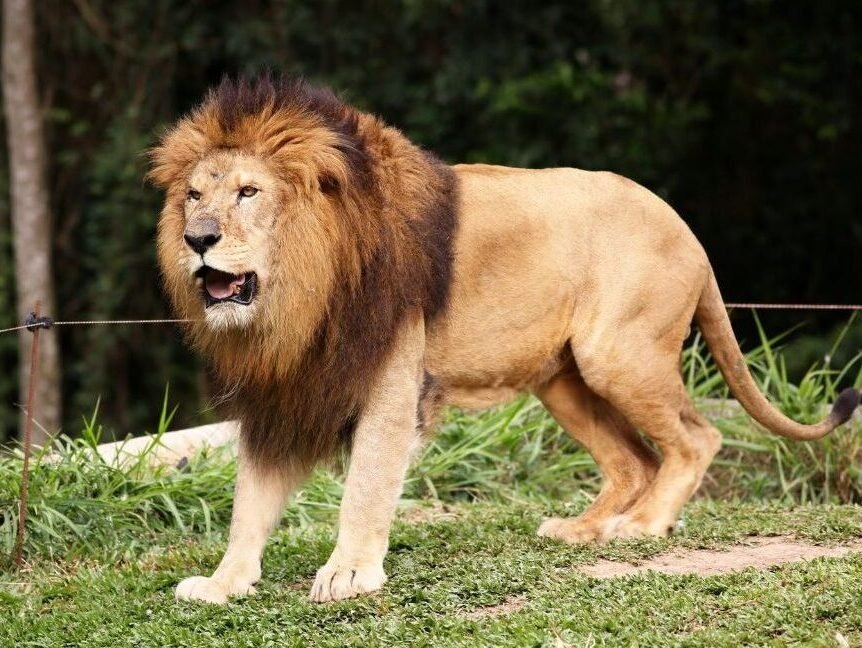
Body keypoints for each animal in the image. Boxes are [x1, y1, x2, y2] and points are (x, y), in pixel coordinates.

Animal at [149, 75, 860, 604]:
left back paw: (640, 526)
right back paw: (581, 529)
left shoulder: (390, 384)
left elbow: (366, 486)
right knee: (635, 460)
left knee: (696, 438)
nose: (198, 238)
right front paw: (223, 583)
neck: (300, 296)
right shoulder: (283, 392)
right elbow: (250, 500)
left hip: (618, 355)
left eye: (249, 192)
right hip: (564, 380)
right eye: (194, 195)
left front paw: (348, 572)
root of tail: (686, 228)